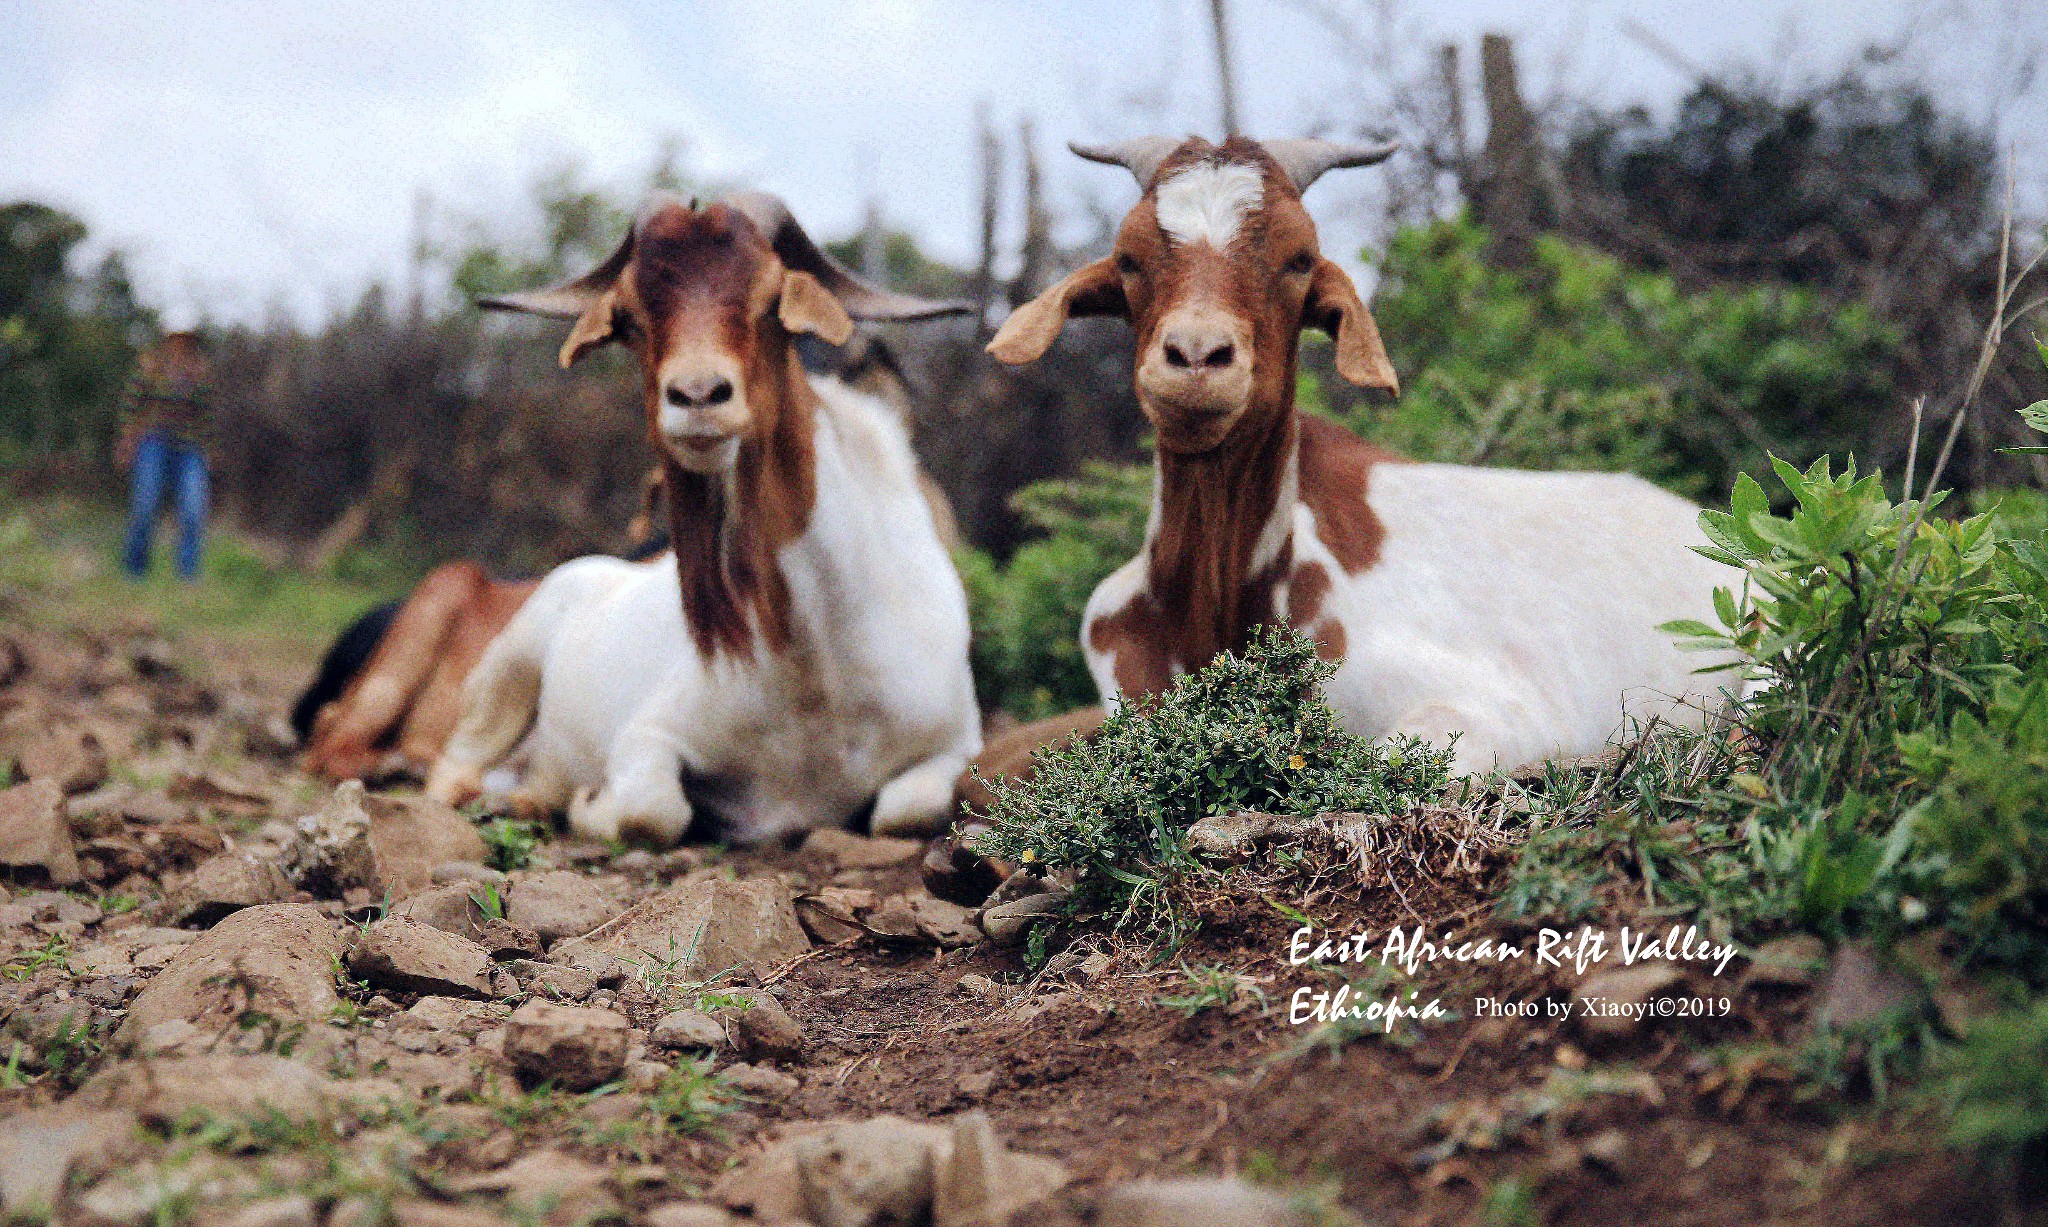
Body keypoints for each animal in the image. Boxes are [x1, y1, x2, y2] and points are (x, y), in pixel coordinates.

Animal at [425, 192, 983, 843]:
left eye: (772, 301)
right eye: (631, 319)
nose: (696, 397)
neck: (819, 667)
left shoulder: (954, 743)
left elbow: (905, 812)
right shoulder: (649, 735)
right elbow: (652, 812)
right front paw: (592, 804)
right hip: (507, 669)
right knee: (451, 770)